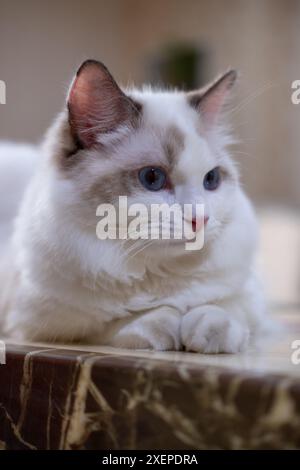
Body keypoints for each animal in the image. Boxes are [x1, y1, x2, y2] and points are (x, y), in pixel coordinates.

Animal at [0, 59, 268, 352]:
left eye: (211, 179)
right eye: (152, 178)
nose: (201, 219)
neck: (157, 272)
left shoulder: (248, 294)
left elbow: (226, 308)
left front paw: (206, 331)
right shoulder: (40, 322)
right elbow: (123, 320)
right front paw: (168, 325)